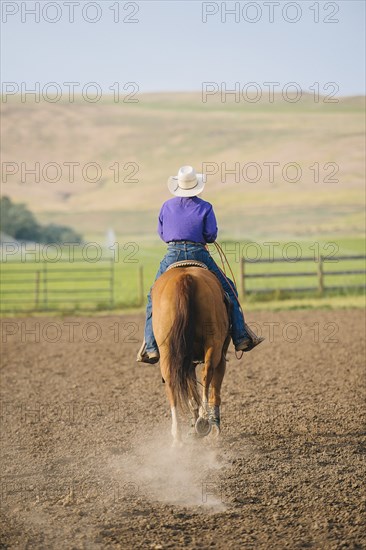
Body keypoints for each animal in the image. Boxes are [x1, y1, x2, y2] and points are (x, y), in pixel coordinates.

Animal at [150, 266, 230, 450]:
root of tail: (185, 278)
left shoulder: (187, 362)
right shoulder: (221, 356)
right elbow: (213, 388)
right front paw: (214, 426)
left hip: (168, 351)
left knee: (171, 382)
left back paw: (178, 436)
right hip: (214, 344)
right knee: (208, 372)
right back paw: (205, 420)